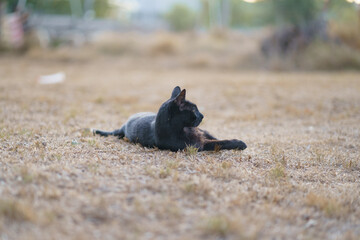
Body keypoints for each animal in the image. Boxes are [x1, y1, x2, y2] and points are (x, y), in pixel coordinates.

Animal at [92, 86, 248, 152]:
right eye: (194, 110)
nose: (203, 115)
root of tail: (124, 126)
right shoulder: (198, 145)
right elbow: (219, 142)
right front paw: (240, 143)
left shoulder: (203, 132)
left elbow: (216, 137)